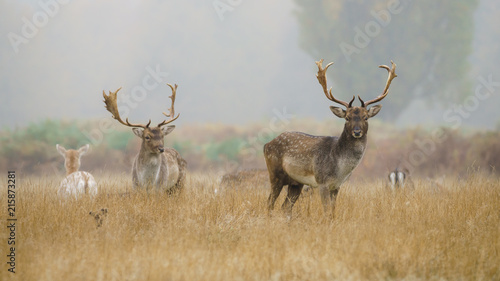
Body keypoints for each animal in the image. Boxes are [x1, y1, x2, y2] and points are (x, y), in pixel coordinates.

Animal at [264, 59, 396, 217]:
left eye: (365, 117)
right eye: (347, 117)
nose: (357, 132)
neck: (340, 169)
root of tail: (266, 144)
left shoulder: (336, 186)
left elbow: (333, 212)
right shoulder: (322, 182)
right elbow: (327, 212)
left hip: (296, 183)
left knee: (285, 207)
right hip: (275, 174)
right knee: (269, 203)